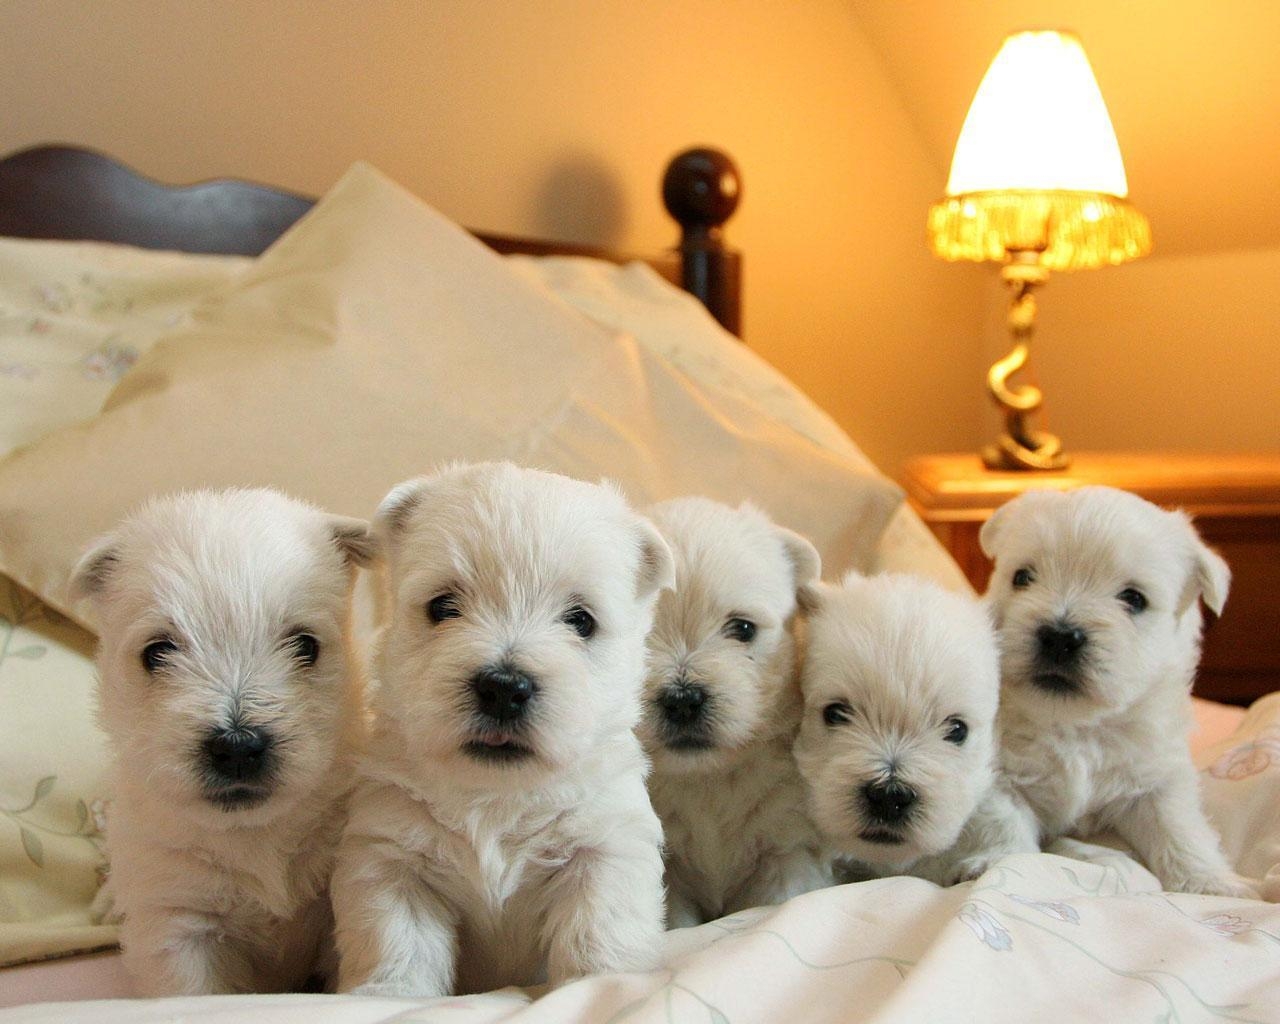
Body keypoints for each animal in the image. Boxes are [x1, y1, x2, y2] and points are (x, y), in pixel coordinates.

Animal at [73, 488, 373, 993]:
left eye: (306, 645)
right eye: (157, 652)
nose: (237, 746)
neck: (253, 834)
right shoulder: (178, 917)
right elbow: (196, 991)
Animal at [330, 460, 675, 993]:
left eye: (581, 620)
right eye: (442, 606)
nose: (504, 688)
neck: (497, 796)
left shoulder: (603, 845)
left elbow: (598, 928)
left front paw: (604, 984)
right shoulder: (392, 856)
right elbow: (396, 941)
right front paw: (387, 994)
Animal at [977, 488, 1249, 896]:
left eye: (1134, 599)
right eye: (1022, 577)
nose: (1059, 636)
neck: (1075, 726)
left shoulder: (1156, 777)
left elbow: (1179, 828)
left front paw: (1211, 883)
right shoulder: (997, 774)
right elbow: (1002, 823)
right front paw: (1000, 868)